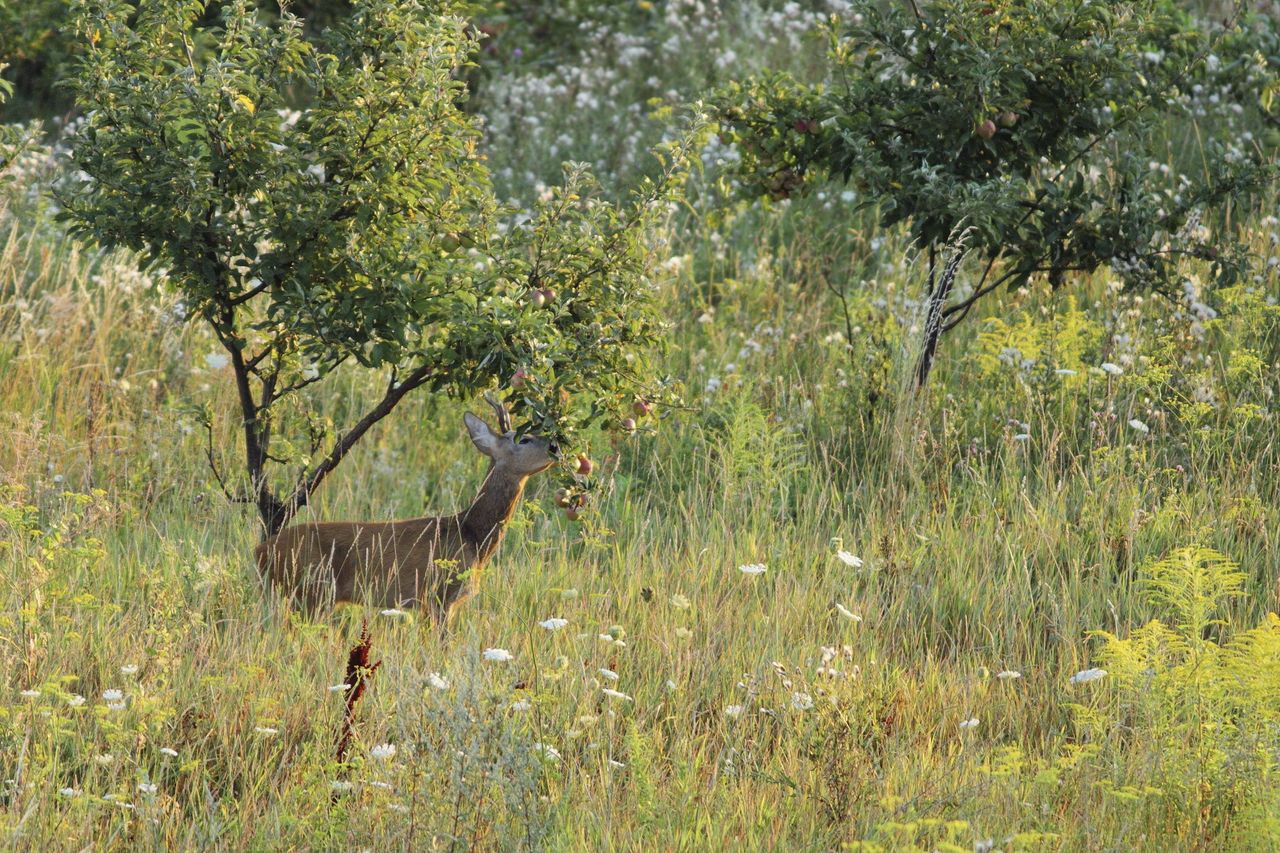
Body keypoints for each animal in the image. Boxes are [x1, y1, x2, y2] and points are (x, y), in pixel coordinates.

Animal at [256, 391, 560, 625]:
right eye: (523, 439)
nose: (555, 446)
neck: (471, 534)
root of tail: (260, 551)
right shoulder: (439, 594)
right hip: (312, 591)